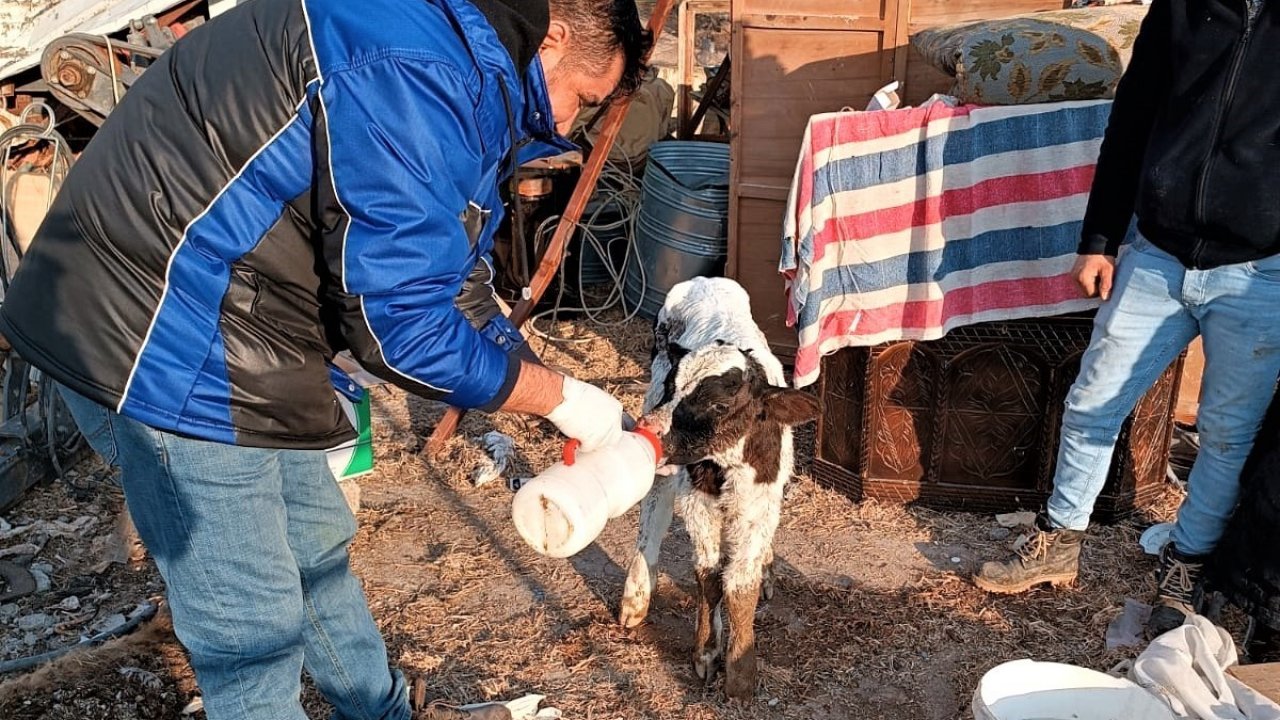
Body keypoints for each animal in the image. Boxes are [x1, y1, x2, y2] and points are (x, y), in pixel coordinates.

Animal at [622, 274, 819, 696]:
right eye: (672, 388)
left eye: (719, 406)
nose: (649, 428)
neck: (727, 464)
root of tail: (705, 279)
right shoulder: (698, 503)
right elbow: (709, 576)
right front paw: (707, 654)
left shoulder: (759, 503)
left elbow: (741, 586)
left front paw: (741, 672)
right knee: (652, 516)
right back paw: (636, 596)